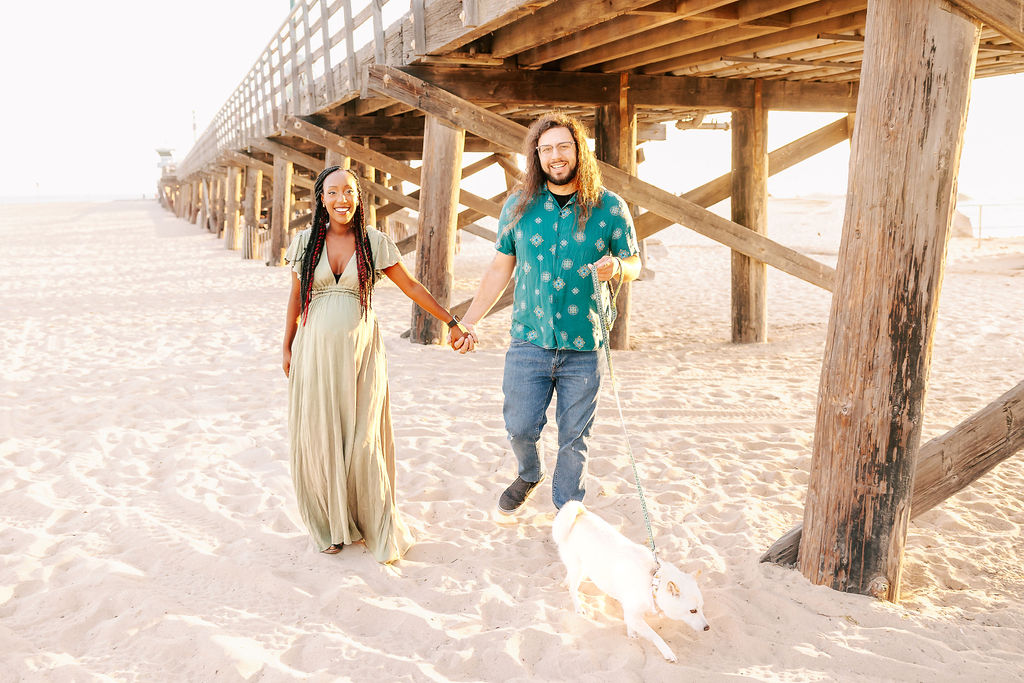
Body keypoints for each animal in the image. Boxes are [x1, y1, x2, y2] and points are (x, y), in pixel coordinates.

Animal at [552, 501, 712, 663]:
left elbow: (632, 625)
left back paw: (565, 583)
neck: (652, 582)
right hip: (578, 567)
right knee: (573, 589)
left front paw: (632, 634)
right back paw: (578, 607)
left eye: (702, 607)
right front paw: (667, 652)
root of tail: (579, 514)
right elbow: (655, 636)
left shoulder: (630, 612)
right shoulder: (633, 614)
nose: (707, 628)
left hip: (586, 567)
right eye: (692, 610)